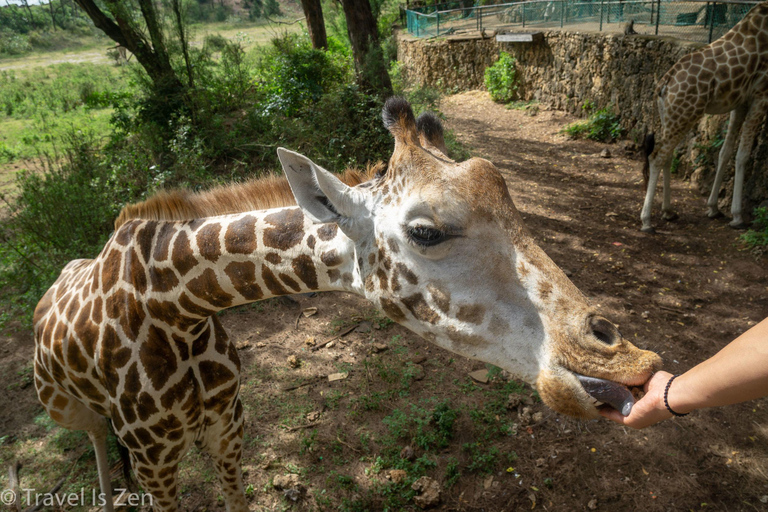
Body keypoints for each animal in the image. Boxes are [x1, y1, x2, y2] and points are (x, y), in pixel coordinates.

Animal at [34, 98, 660, 510]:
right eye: (426, 231)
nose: (626, 359)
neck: (175, 306)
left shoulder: (229, 430)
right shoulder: (156, 461)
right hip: (74, 414)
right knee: (96, 443)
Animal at [640, 1, 768, 233]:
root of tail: (663, 84)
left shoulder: (741, 101)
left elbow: (725, 152)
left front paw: (713, 207)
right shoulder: (761, 93)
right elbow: (742, 155)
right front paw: (737, 216)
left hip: (672, 117)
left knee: (667, 155)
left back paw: (668, 211)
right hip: (685, 114)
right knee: (657, 156)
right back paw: (646, 221)